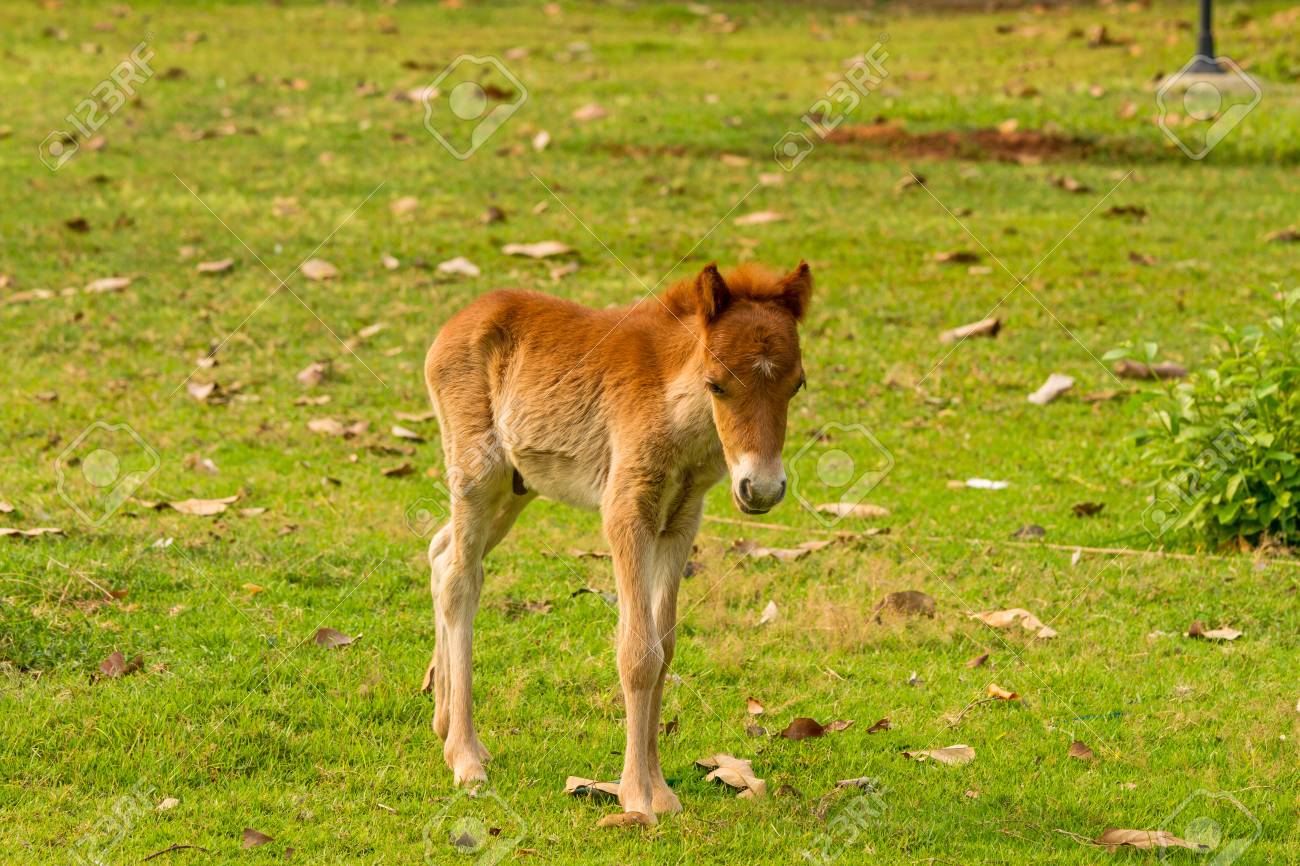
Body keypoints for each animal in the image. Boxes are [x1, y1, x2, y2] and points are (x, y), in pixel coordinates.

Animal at [423, 261, 812, 821]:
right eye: (716, 384)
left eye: (797, 384)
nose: (760, 489)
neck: (678, 413)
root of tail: (455, 323)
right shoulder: (626, 512)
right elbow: (637, 653)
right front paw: (636, 795)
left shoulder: (680, 521)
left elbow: (664, 647)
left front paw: (662, 792)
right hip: (477, 473)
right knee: (460, 579)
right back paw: (466, 758)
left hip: (515, 489)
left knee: (441, 553)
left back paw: (444, 722)